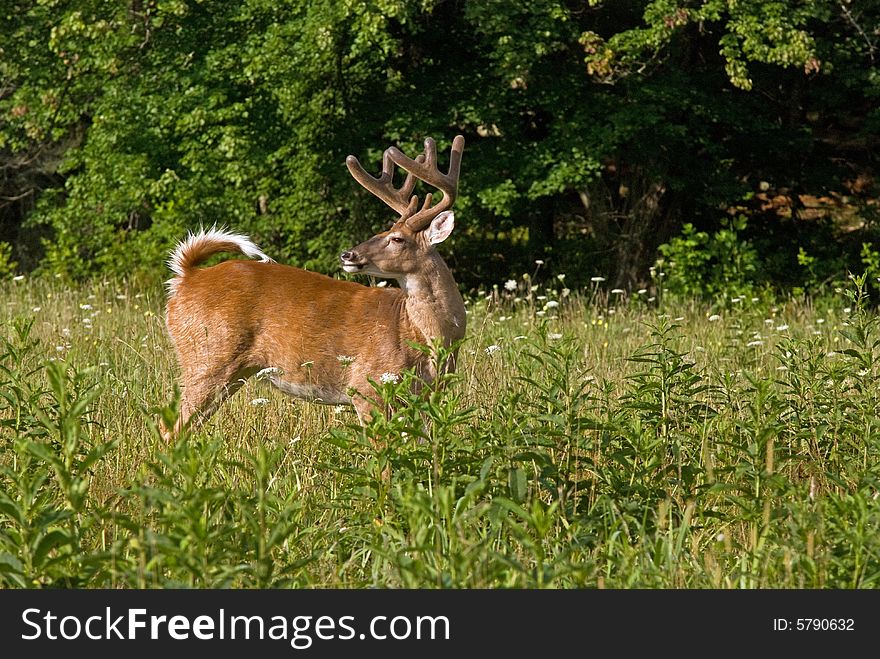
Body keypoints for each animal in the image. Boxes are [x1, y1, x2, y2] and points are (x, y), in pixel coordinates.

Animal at [162, 134, 470, 444]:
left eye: (396, 238)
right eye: (383, 232)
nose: (348, 254)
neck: (418, 334)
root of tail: (186, 277)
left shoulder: (423, 397)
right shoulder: (367, 385)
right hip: (206, 356)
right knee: (171, 428)